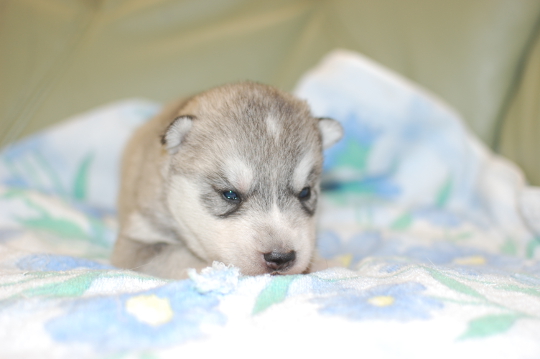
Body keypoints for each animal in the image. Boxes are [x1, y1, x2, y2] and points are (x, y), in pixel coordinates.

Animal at [110, 83, 342, 280]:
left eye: (305, 192)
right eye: (230, 194)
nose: (280, 257)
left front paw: (321, 263)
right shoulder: (138, 240)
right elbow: (178, 257)